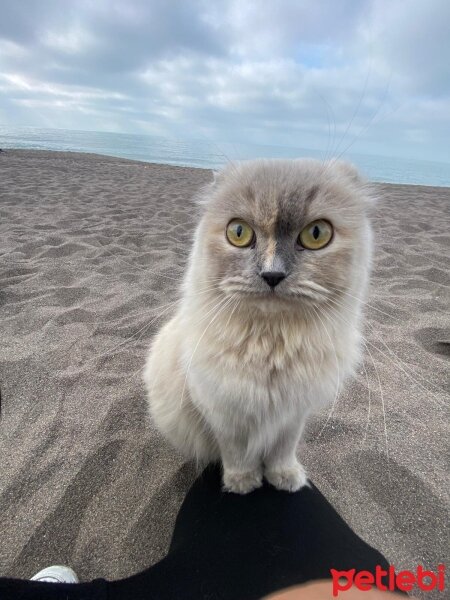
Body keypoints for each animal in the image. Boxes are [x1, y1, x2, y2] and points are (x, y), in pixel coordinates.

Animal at [143, 157, 372, 494]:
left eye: (316, 234)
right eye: (238, 232)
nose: (272, 274)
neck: (271, 344)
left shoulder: (292, 415)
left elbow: (282, 451)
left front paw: (285, 478)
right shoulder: (223, 413)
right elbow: (237, 454)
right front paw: (243, 483)